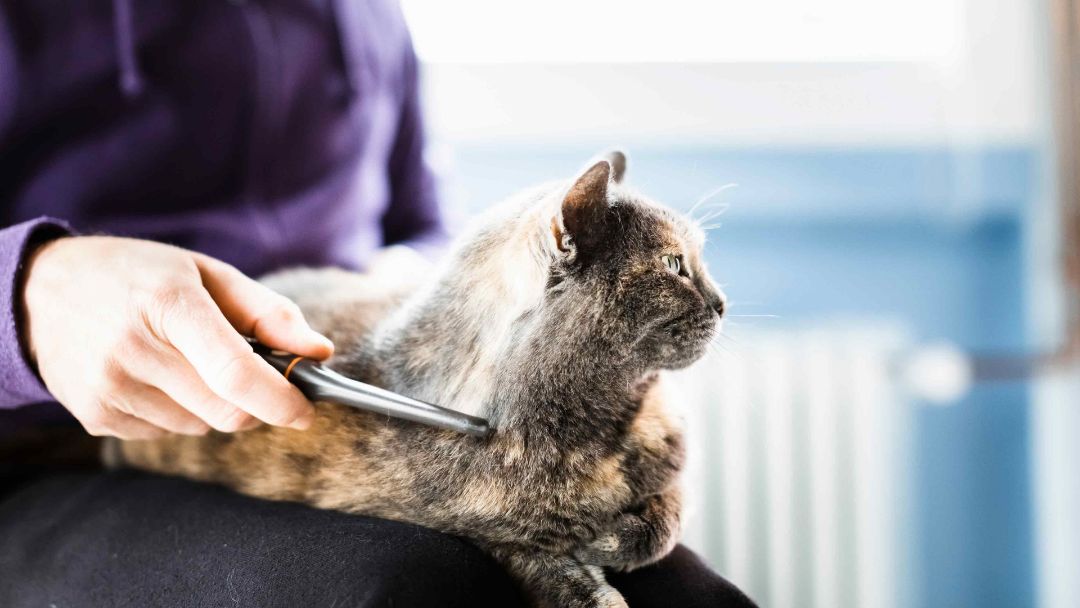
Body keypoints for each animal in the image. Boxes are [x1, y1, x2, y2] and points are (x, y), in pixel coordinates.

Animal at [105, 153, 725, 608]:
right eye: (674, 265)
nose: (722, 303)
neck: (599, 427)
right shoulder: (484, 536)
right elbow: (555, 571)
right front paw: (592, 556)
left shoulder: (675, 475)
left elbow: (664, 520)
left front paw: (606, 537)